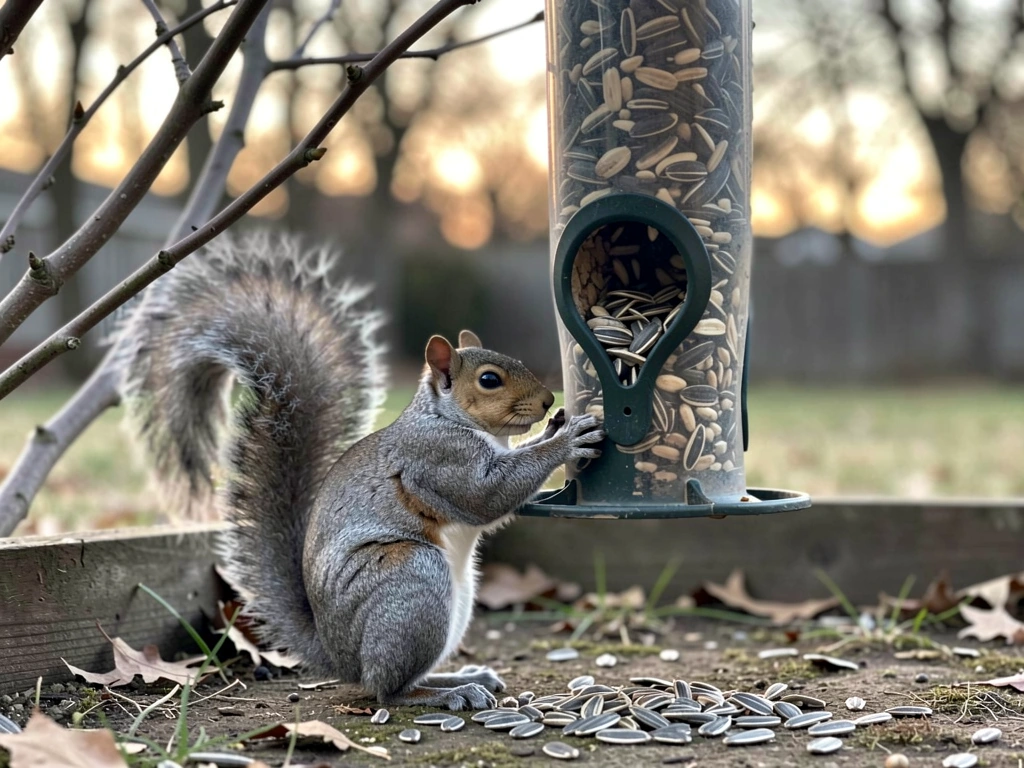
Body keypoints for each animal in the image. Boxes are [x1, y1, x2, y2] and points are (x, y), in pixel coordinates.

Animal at [117, 231, 605, 710]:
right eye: (489, 380)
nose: (548, 401)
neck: (452, 420)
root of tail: (338, 655)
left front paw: (555, 428)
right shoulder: (436, 459)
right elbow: (487, 495)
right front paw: (567, 439)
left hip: (453, 601)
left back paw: (463, 677)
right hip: (412, 579)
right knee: (388, 688)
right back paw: (450, 693)